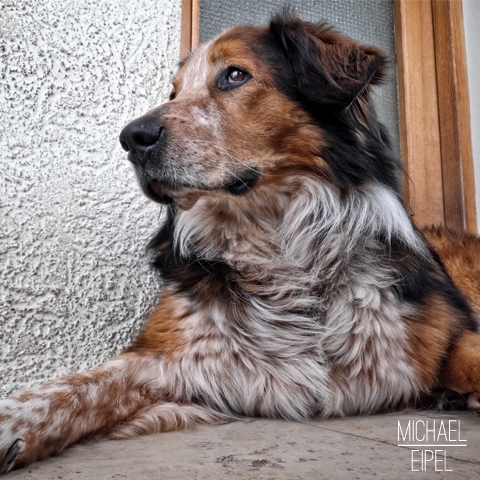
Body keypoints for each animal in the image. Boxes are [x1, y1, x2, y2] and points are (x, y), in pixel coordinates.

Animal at [0, 10, 480, 472]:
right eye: (173, 92)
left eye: (234, 75)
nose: (132, 138)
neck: (279, 243)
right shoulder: (170, 354)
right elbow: (76, 386)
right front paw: (13, 421)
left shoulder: (438, 328)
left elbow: (469, 353)